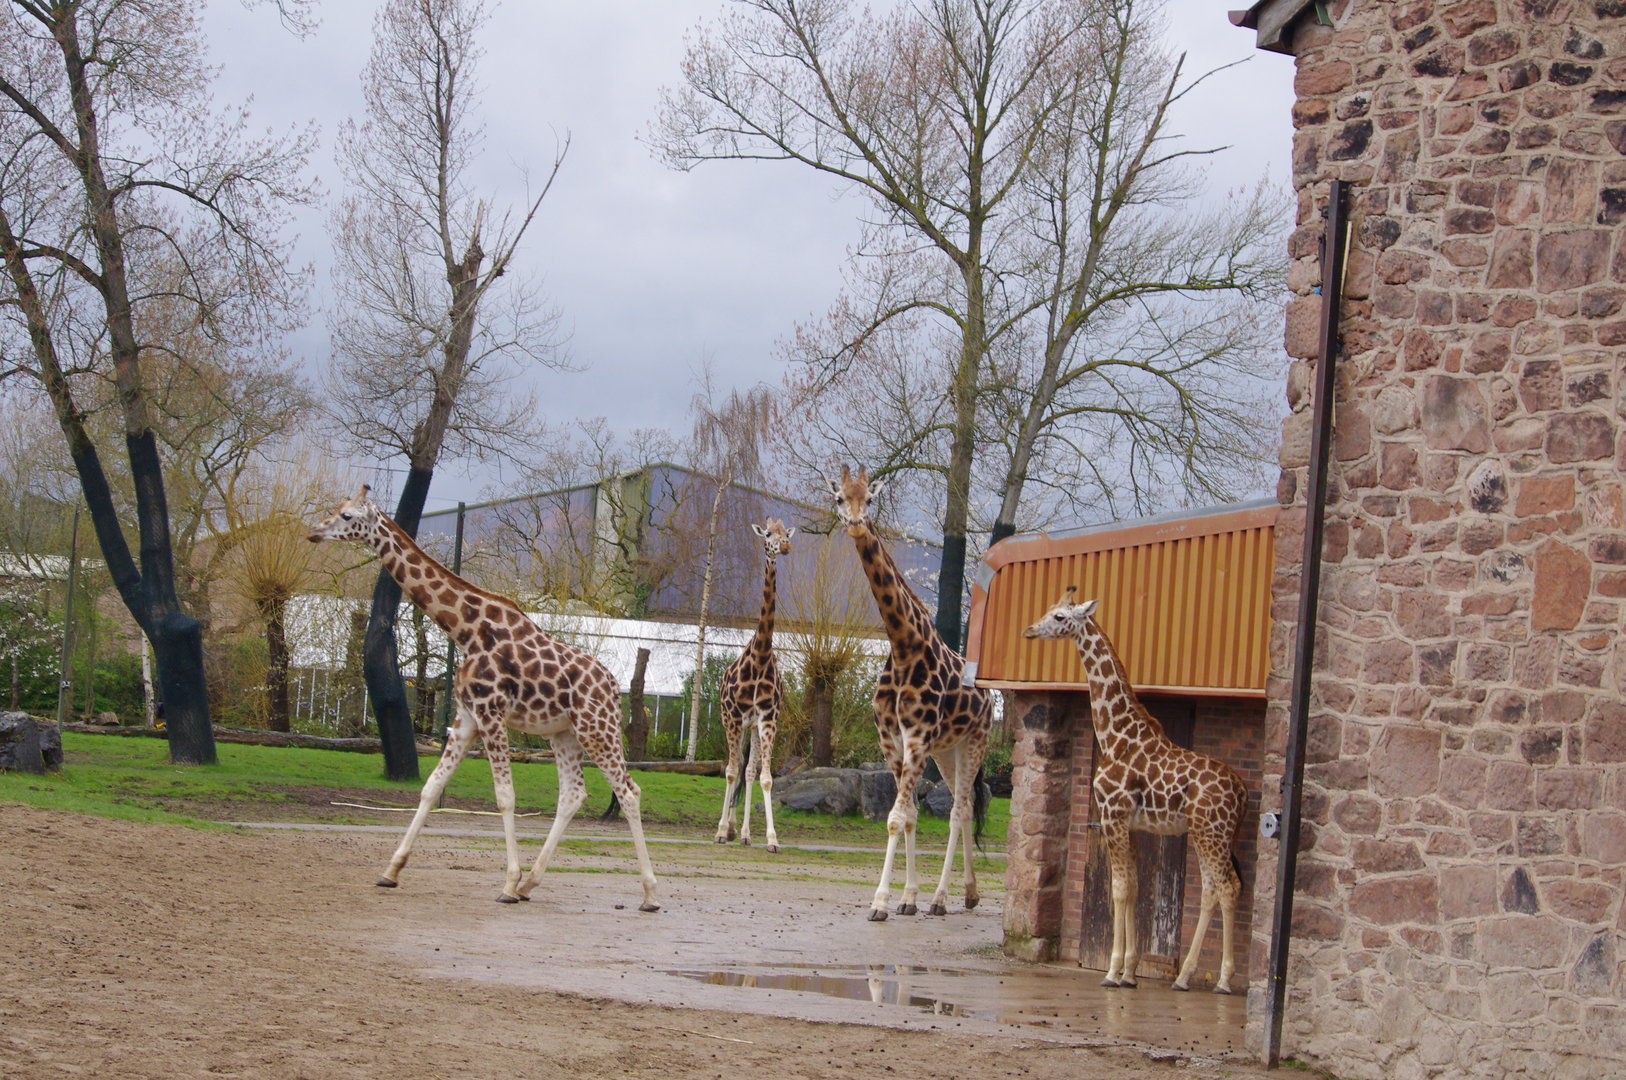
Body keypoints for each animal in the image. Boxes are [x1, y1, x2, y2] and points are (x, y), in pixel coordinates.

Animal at [307, 486, 659, 911]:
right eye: (336, 510)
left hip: (597, 729)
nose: (313, 532)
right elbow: (431, 788)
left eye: (346, 516)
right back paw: (531, 884)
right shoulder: (466, 718)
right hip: (564, 734)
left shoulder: (491, 713)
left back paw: (649, 894)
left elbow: (505, 796)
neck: (466, 629)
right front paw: (391, 871)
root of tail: (611, 685)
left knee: (629, 791)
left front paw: (507, 883)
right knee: (573, 794)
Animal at [827, 465, 993, 921]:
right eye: (839, 498)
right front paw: (907, 897)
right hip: (948, 751)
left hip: (976, 742)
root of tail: (991, 696)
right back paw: (969, 894)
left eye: (870, 498)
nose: (855, 523)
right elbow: (911, 816)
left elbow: (896, 817)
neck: (903, 647)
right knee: (964, 808)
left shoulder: (917, 738)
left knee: (958, 810)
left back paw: (942, 898)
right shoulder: (893, 741)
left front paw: (881, 902)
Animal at [1023, 587, 1248, 993]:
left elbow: (1120, 889)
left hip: (1213, 834)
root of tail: (1242, 794)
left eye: (1061, 617)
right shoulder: (1131, 824)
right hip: (1207, 834)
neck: (1115, 735)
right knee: (1211, 889)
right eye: (1049, 609)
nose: (1030, 630)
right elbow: (1135, 888)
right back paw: (1184, 977)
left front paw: (1112, 972)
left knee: (1228, 887)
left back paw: (1222, 980)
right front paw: (1128, 972)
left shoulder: (1112, 816)